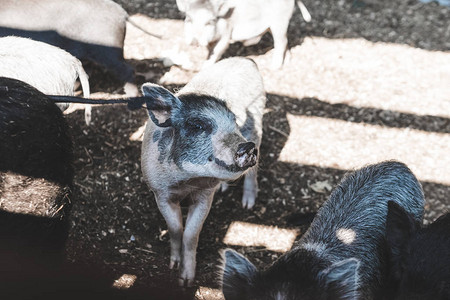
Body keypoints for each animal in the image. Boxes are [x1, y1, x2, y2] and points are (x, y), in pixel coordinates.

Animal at [141, 56, 266, 286]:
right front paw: (173, 266)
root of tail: (246, 59)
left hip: (257, 120)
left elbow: (191, 234)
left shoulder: (205, 196)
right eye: (197, 126)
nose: (247, 147)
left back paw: (248, 204)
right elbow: (175, 228)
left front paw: (186, 280)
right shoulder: (160, 193)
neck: (187, 181)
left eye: (234, 121)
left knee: (252, 172)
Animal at [178, 0, 312, 68]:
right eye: (189, 19)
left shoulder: (227, 32)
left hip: (280, 21)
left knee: (281, 42)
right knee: (285, 41)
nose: (194, 40)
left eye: (209, 22)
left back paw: (274, 67)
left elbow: (217, 50)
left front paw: (204, 67)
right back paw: (287, 61)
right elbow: (210, 50)